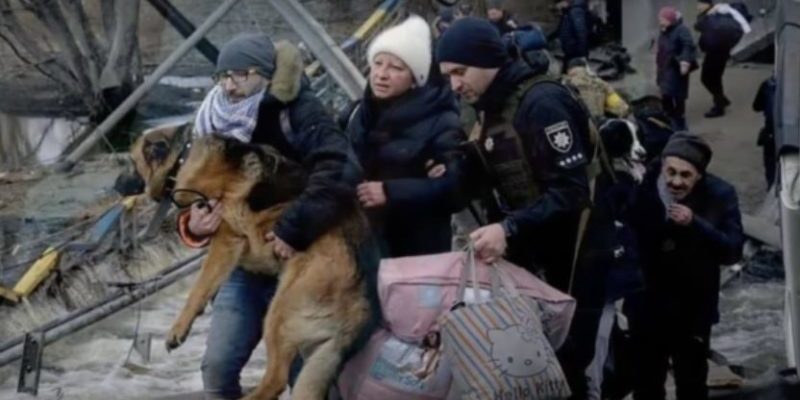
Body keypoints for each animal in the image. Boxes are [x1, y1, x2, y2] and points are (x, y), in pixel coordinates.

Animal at [127, 123, 378, 398]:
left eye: (131, 163)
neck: (184, 155)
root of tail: (362, 305)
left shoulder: (225, 239)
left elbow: (199, 287)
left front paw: (178, 328)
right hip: (314, 350)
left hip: (279, 314)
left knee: (276, 379)